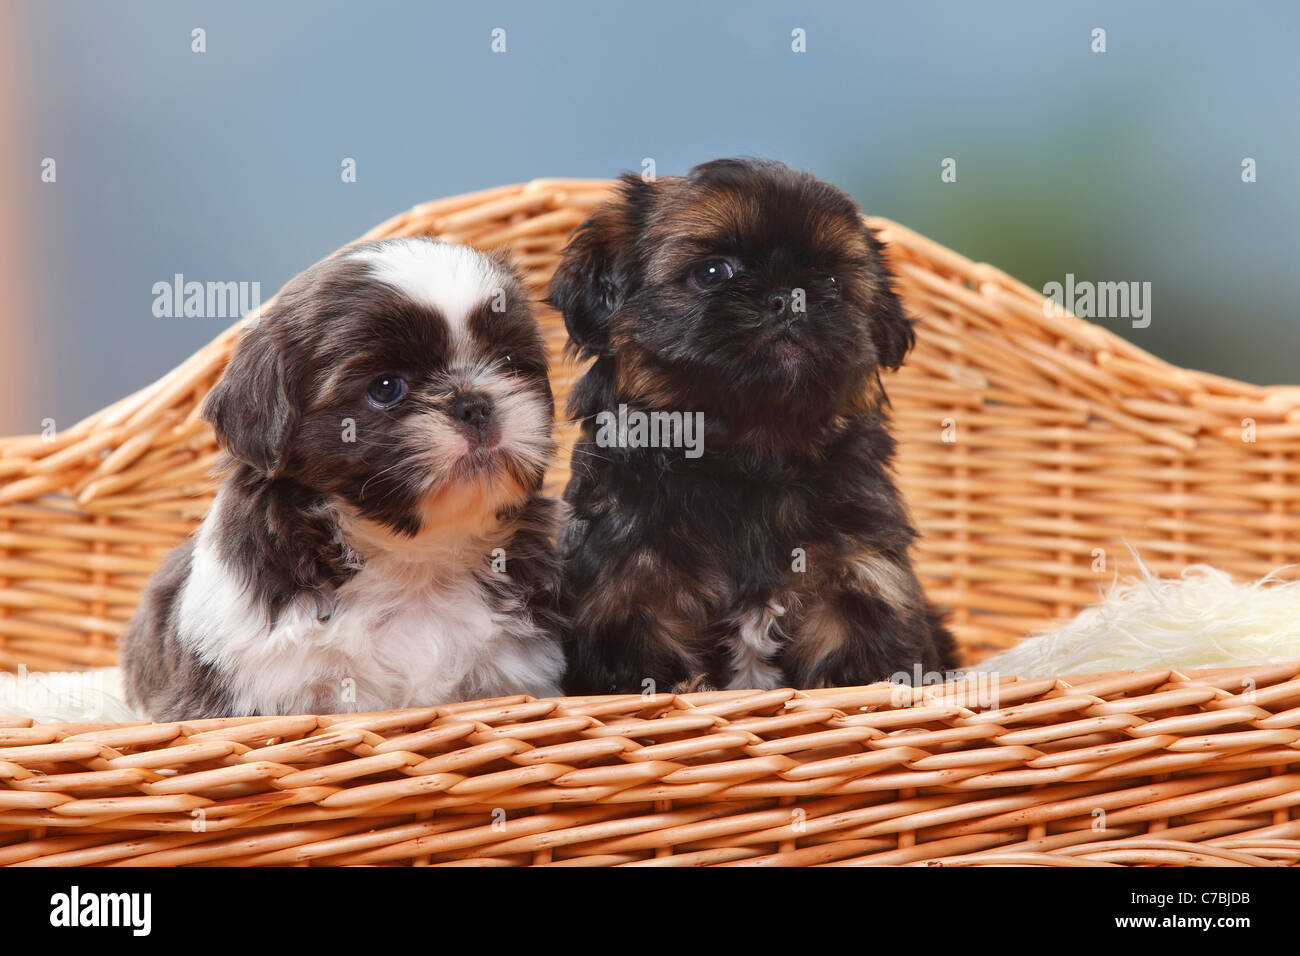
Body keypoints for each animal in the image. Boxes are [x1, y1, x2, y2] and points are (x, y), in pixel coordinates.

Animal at [546, 157, 956, 697]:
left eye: (830, 281)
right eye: (712, 271)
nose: (789, 297)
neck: (747, 458)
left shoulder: (862, 581)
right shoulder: (628, 603)